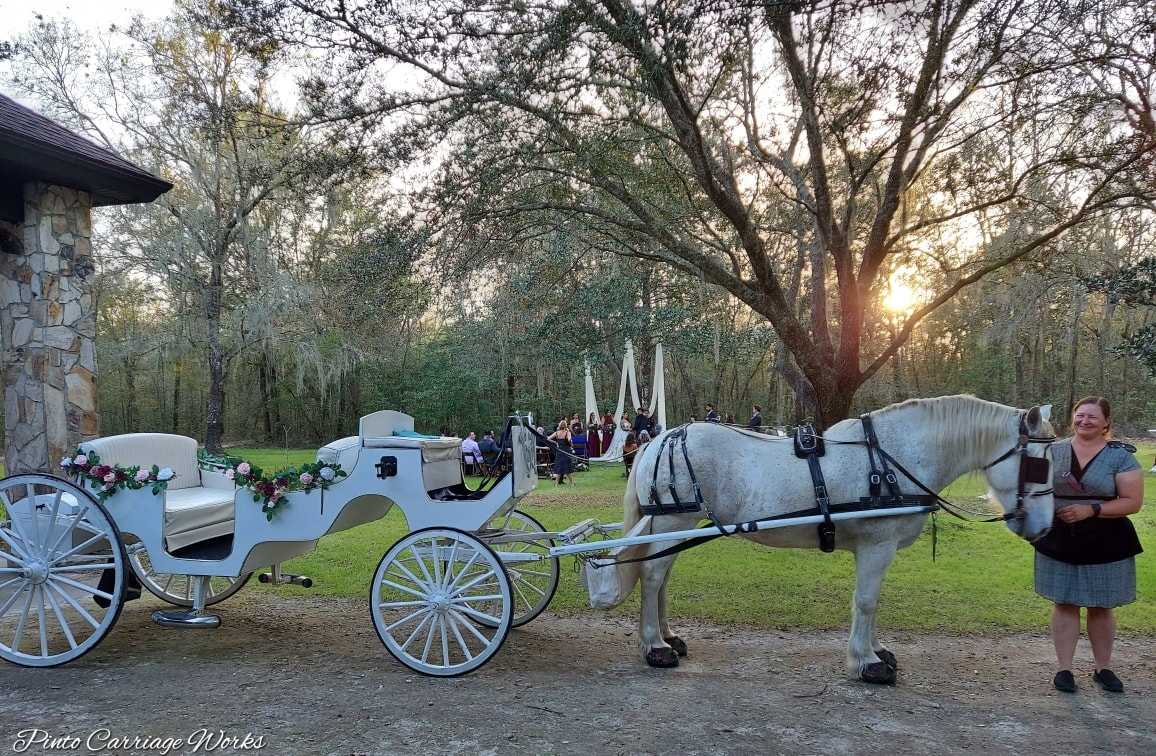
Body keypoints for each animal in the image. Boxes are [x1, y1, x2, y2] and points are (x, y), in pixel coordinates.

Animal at [610, 397, 1054, 688]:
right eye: (1040, 464)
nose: (1045, 527)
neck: (891, 460)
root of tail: (661, 438)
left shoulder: (878, 550)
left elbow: (873, 602)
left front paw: (877, 650)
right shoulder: (877, 546)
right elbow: (867, 601)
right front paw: (866, 662)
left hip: (677, 526)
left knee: (662, 576)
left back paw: (667, 637)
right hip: (676, 518)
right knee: (652, 576)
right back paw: (654, 646)